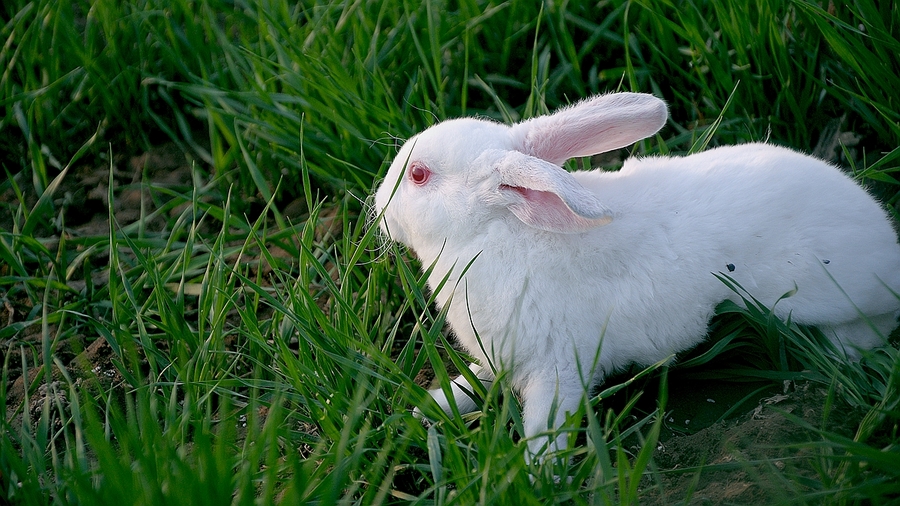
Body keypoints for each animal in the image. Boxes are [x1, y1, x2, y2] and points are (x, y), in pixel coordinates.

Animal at [370, 91, 900, 458]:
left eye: (418, 175)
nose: (379, 209)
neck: (500, 229)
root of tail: (886, 241)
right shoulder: (502, 358)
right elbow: (473, 383)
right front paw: (426, 409)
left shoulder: (557, 369)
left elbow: (547, 427)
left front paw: (537, 473)